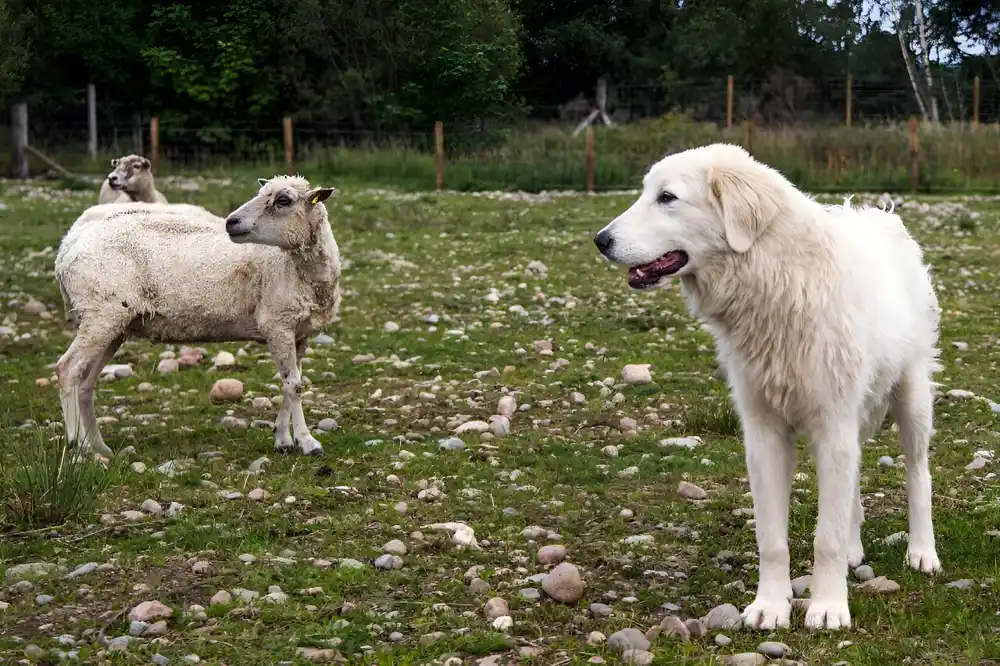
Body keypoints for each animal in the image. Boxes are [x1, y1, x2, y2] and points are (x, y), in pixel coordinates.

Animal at [55, 175, 344, 456]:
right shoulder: (276, 325)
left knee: (86, 382)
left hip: (113, 323)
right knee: (67, 369)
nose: (231, 222)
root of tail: (67, 246)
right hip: (100, 313)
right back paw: (78, 444)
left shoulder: (299, 332)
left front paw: (283, 440)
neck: (294, 267)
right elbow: (294, 386)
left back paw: (98, 447)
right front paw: (308, 443)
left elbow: (290, 383)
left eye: (284, 200)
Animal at [592, 144, 944, 628]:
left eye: (667, 198)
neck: (776, 282)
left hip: (911, 400)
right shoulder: (764, 435)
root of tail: (880, 216)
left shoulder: (832, 425)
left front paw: (828, 607)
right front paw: (770, 607)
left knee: (918, 475)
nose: (600, 240)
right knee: (852, 488)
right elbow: (773, 539)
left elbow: (825, 537)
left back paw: (922, 552)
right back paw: (855, 551)